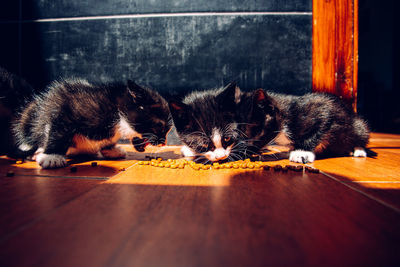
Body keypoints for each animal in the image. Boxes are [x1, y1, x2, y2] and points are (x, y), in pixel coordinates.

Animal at [13, 78, 173, 169]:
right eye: (160, 125)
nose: (163, 142)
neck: (117, 114)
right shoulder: (65, 109)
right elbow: (58, 131)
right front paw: (52, 156)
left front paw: (111, 149)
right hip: (30, 111)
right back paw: (34, 151)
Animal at [236, 89, 370, 163]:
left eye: (251, 130)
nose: (244, 151)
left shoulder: (324, 109)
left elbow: (315, 131)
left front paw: (301, 152)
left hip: (357, 125)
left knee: (361, 133)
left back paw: (358, 150)